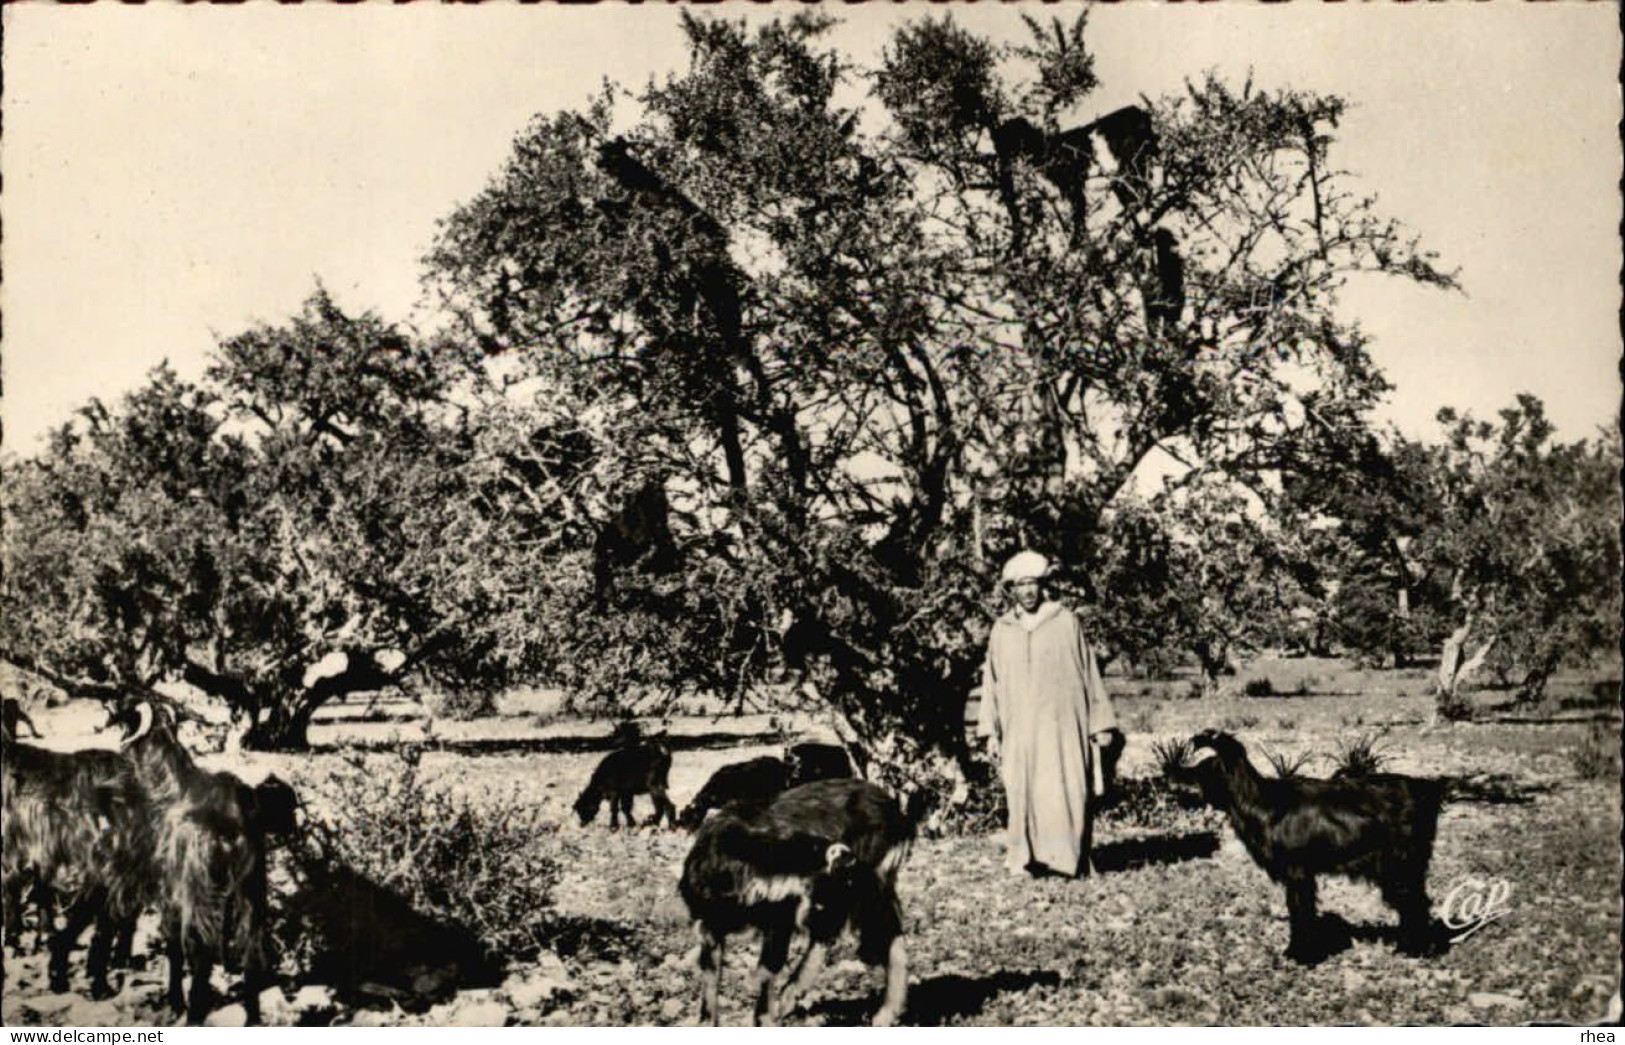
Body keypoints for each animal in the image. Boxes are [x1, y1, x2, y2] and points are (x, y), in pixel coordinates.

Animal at [117, 698, 286, 1027]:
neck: (170, 786)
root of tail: (233, 822)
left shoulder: (172, 894)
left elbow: (174, 948)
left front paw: (175, 1002)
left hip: (202, 894)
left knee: (202, 953)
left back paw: (194, 1012)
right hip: (251, 893)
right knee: (252, 952)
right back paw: (252, 1018)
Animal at [676, 780, 916, 1027]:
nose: (846, 858)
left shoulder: (780, 914)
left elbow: (768, 966)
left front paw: (765, 1019)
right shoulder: (708, 923)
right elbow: (710, 973)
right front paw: (706, 1021)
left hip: (871, 887)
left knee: (881, 933)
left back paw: (882, 1013)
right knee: (834, 933)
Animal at [1189, 728, 1443, 962]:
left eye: (1201, 770)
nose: (1180, 777)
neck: (1259, 802)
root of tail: (1426, 790)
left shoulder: (1297, 873)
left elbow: (1300, 911)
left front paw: (1299, 953)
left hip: (1398, 865)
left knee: (1414, 904)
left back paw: (1412, 949)